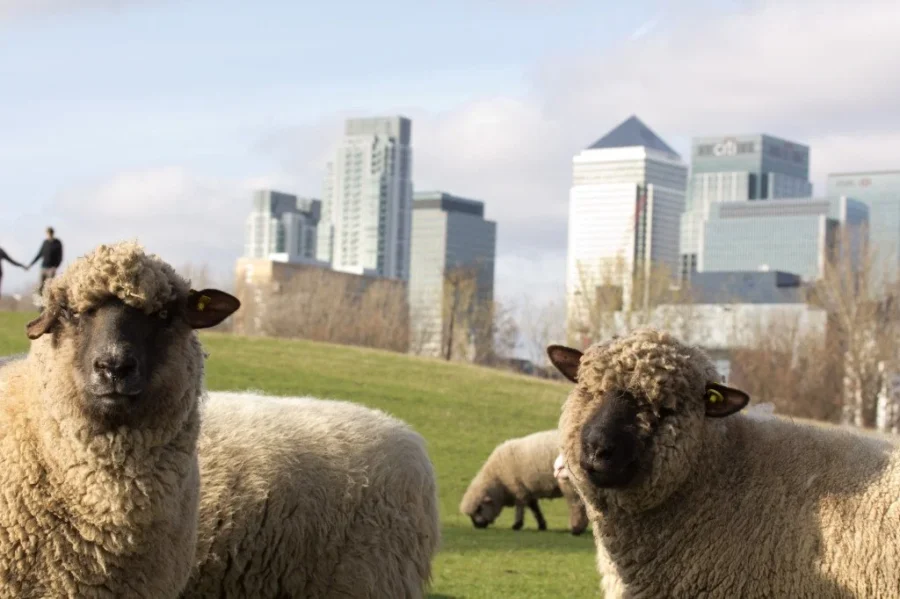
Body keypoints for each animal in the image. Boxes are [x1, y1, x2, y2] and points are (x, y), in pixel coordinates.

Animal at [460, 429, 589, 536]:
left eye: (479, 509)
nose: (477, 526)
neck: (498, 480)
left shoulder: (518, 488)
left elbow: (520, 506)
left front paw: (517, 525)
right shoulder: (528, 490)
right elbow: (534, 508)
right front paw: (541, 525)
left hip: (569, 483)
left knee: (576, 505)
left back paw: (576, 529)